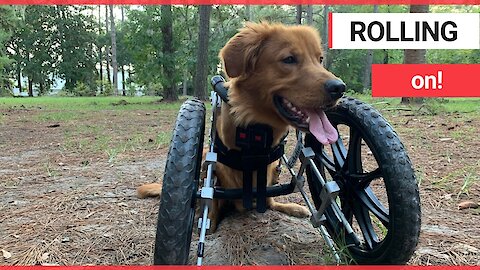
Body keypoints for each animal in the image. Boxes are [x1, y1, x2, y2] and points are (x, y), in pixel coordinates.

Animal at [137, 21, 344, 232]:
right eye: (289, 59)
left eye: (320, 59)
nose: (339, 88)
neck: (258, 128)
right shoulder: (216, 170)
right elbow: (210, 206)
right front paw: (208, 228)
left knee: (270, 202)